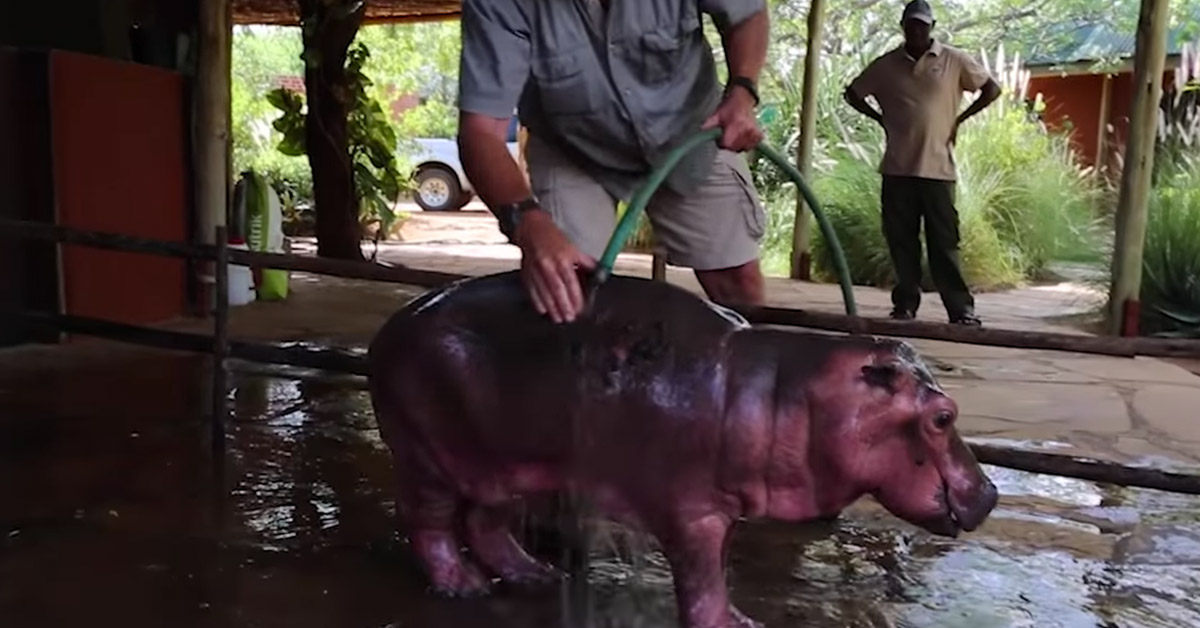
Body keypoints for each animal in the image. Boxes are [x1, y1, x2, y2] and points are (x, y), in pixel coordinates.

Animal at [367, 270, 998, 628]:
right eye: (943, 417)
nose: (990, 492)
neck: (785, 391)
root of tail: (393, 323)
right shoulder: (691, 512)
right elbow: (700, 577)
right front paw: (736, 626)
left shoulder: (723, 506)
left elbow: (715, 568)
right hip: (427, 456)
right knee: (428, 520)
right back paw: (462, 587)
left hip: (504, 461)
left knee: (487, 522)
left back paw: (536, 577)